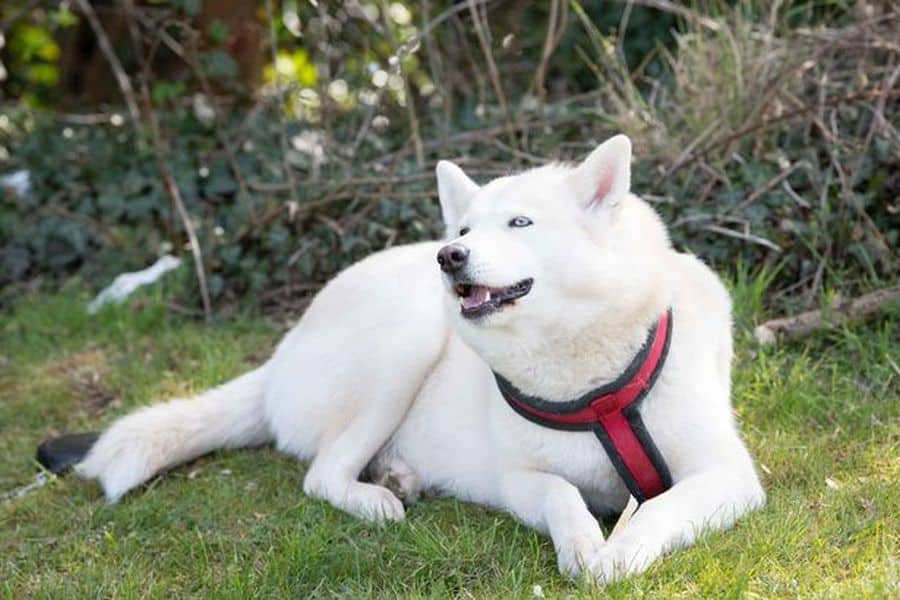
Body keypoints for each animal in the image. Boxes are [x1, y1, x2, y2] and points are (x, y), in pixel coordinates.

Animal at [79, 135, 768, 580]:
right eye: (463, 230)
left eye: (521, 223)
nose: (448, 256)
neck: (587, 383)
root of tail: (281, 353)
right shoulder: (522, 483)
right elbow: (562, 498)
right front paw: (583, 547)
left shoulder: (729, 477)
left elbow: (663, 507)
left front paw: (622, 551)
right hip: (408, 339)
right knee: (321, 473)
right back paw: (375, 498)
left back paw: (396, 475)